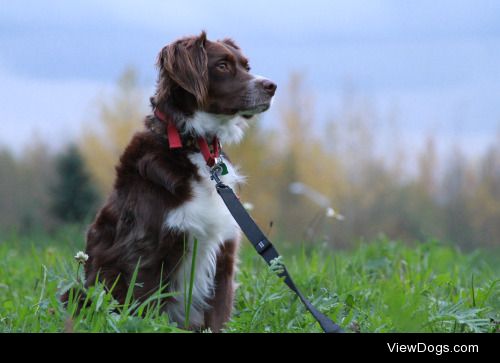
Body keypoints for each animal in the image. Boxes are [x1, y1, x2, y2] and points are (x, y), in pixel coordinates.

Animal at [69, 32, 278, 332]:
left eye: (246, 66)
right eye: (222, 66)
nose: (271, 86)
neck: (194, 147)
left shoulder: (224, 258)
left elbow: (218, 317)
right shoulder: (147, 255)